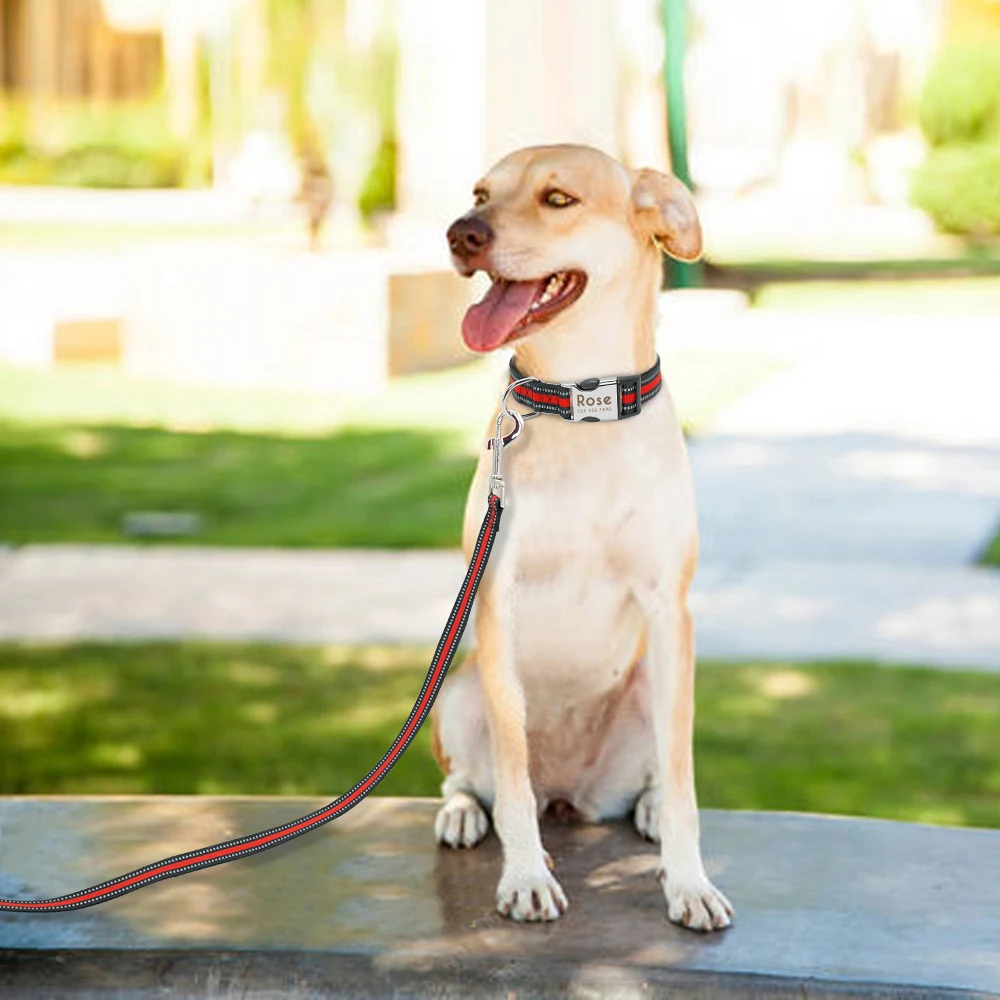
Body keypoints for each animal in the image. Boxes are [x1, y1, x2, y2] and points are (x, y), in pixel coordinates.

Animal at [432, 145, 736, 932]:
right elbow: (511, 777)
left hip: (650, 685)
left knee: (657, 772)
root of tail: (570, 795)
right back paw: (462, 814)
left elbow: (686, 781)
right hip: (458, 694)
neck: (581, 406)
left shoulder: (670, 610)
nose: (460, 232)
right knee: (471, 781)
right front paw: (525, 876)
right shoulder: (497, 602)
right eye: (479, 193)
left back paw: (649, 808)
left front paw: (689, 882)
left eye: (558, 198)